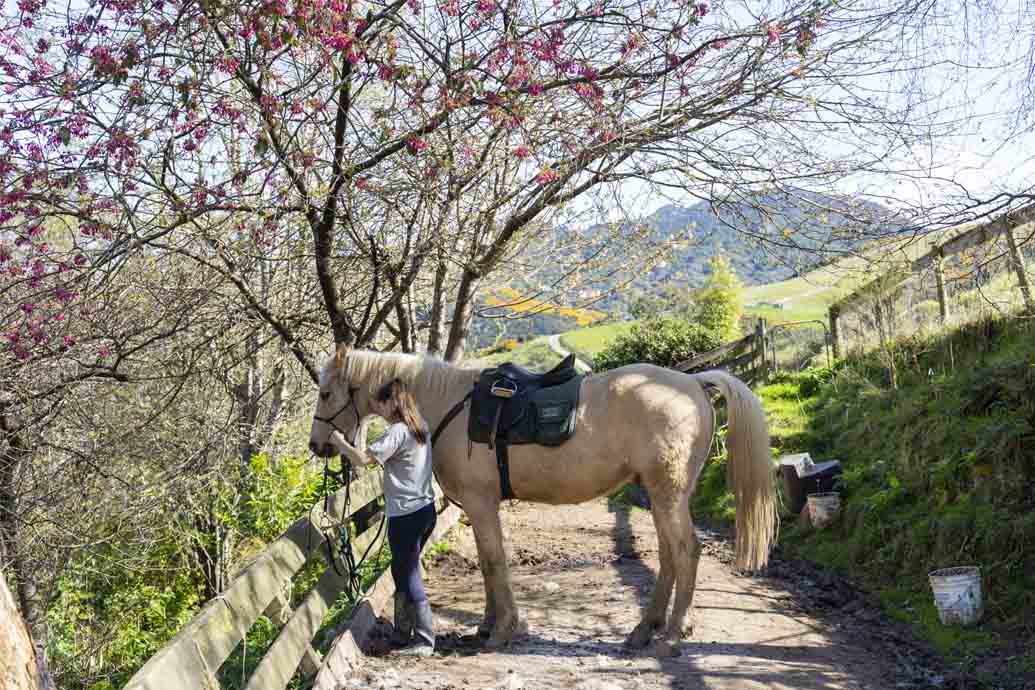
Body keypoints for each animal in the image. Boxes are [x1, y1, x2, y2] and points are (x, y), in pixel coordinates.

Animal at [306, 345, 778, 657]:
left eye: (327, 394)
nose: (317, 445)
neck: (448, 406)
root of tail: (693, 383)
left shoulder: (481, 504)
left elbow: (494, 562)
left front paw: (503, 631)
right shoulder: (479, 510)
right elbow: (487, 563)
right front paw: (487, 626)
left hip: (668, 493)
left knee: (685, 552)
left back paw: (673, 634)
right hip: (662, 496)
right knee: (668, 555)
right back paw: (645, 630)